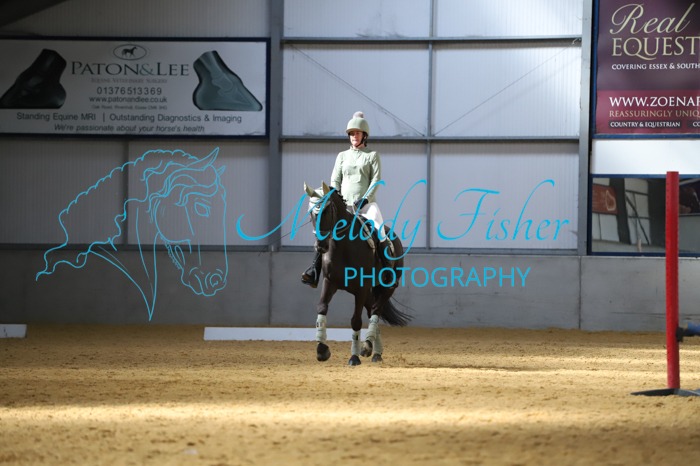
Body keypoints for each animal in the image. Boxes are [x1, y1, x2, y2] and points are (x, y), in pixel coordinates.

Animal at [305, 182, 411, 365]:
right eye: (312, 213)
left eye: (326, 211)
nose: (321, 246)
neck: (343, 247)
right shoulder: (329, 282)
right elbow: (322, 308)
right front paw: (322, 350)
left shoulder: (361, 288)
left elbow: (355, 320)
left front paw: (354, 357)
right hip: (369, 292)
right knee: (372, 311)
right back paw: (375, 352)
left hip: (387, 288)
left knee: (375, 311)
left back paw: (369, 347)